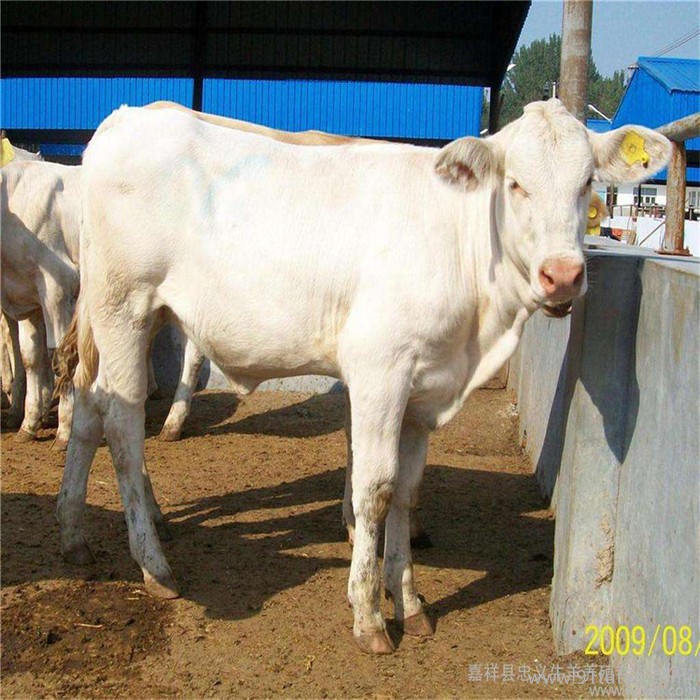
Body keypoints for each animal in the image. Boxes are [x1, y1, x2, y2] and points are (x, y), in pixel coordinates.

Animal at [57, 101, 668, 652]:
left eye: (587, 183)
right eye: (515, 184)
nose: (563, 275)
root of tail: (126, 116)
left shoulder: (426, 389)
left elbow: (408, 491)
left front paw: (411, 602)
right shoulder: (380, 369)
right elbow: (375, 490)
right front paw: (369, 615)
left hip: (121, 319)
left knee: (88, 407)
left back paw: (75, 536)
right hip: (124, 308)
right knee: (123, 429)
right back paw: (154, 565)